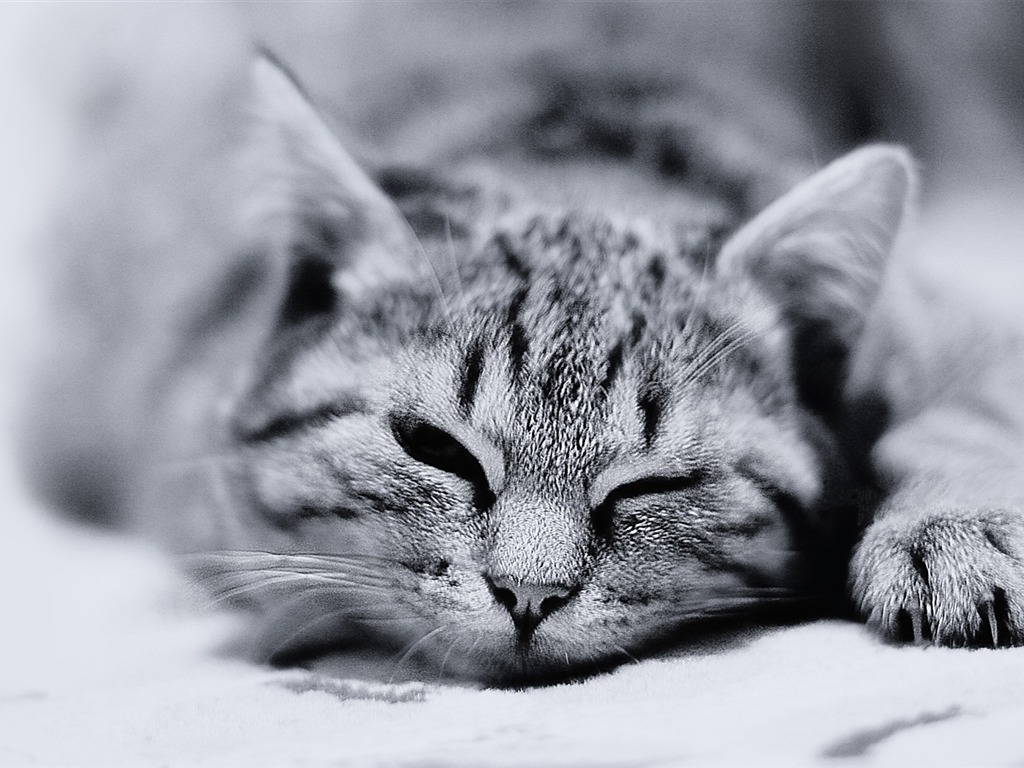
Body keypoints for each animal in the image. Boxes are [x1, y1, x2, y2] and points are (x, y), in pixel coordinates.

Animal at [22, 6, 1024, 688]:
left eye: (653, 484)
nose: (528, 596)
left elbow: (962, 411)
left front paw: (958, 524)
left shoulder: (952, 329)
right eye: (432, 448)